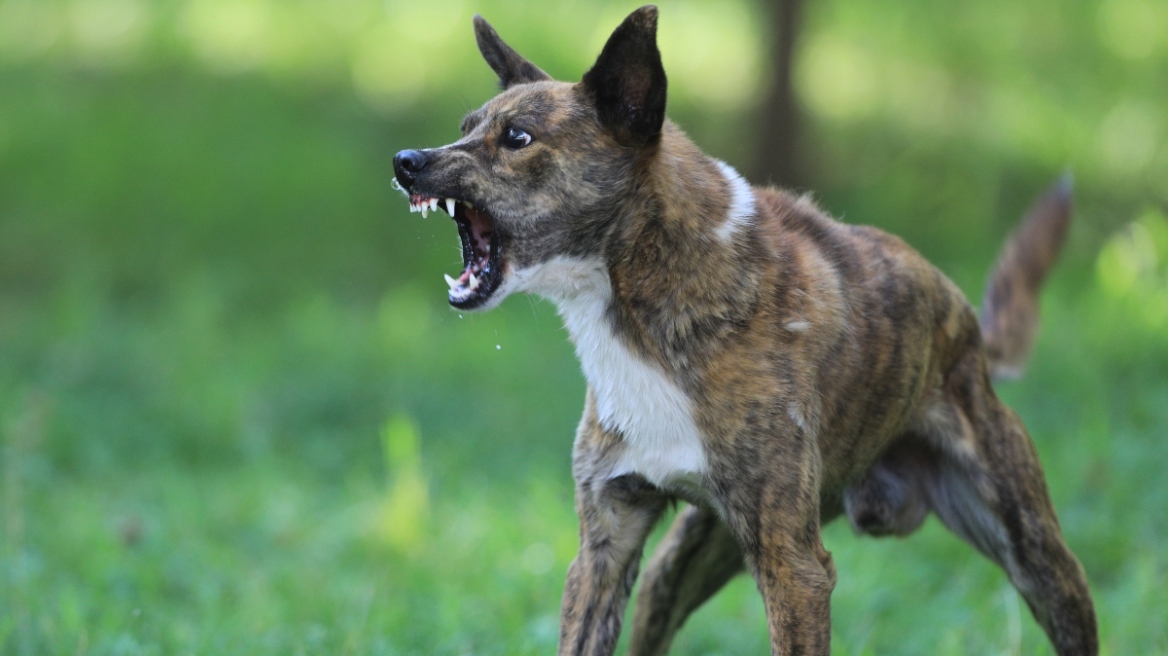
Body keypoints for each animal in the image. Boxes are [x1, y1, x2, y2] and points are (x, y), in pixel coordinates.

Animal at [392, 6, 1093, 653]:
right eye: (465, 129)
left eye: (517, 137)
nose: (406, 161)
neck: (647, 292)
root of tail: (968, 329)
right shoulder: (605, 544)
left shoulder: (796, 569)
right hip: (682, 563)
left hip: (1041, 560)